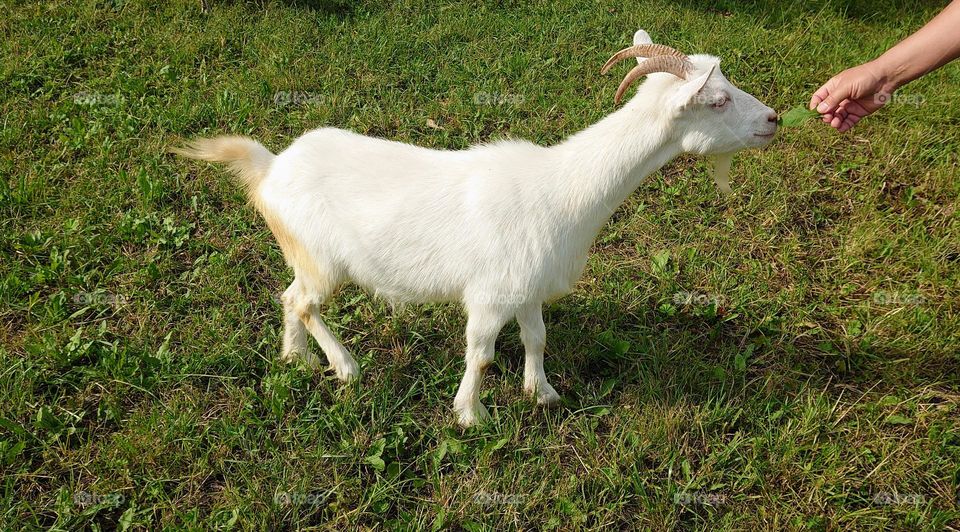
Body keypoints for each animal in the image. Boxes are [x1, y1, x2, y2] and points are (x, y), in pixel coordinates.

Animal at [175, 30, 778, 427]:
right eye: (718, 99)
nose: (773, 119)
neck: (563, 188)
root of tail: (271, 168)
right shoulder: (490, 293)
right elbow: (482, 354)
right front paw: (472, 415)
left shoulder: (528, 287)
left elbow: (536, 337)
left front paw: (543, 394)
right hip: (324, 259)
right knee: (305, 302)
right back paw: (345, 367)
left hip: (305, 255)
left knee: (289, 296)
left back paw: (296, 357)